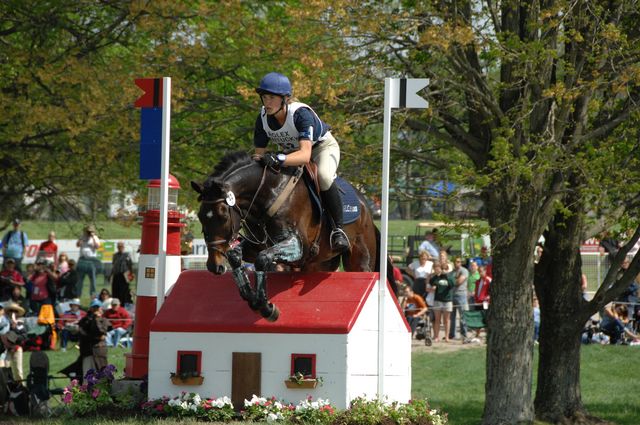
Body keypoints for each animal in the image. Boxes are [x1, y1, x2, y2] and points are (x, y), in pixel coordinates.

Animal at [191, 151, 396, 321]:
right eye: (200, 216)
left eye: (223, 216)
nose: (214, 266)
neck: (268, 193)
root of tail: (366, 208)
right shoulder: (256, 244)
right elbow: (235, 256)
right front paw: (249, 295)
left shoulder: (298, 245)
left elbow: (262, 259)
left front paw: (265, 307)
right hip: (317, 264)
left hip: (359, 260)